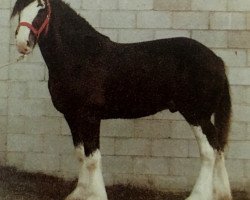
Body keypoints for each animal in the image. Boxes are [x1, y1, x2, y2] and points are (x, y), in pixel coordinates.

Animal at [11, 0, 232, 200]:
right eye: (20, 10)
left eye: (41, 9)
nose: (23, 43)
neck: (79, 56)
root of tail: (217, 60)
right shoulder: (72, 116)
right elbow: (81, 155)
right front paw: (79, 193)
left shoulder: (90, 116)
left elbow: (93, 158)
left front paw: (96, 196)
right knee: (218, 146)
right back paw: (221, 193)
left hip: (196, 114)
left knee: (209, 150)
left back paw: (199, 195)